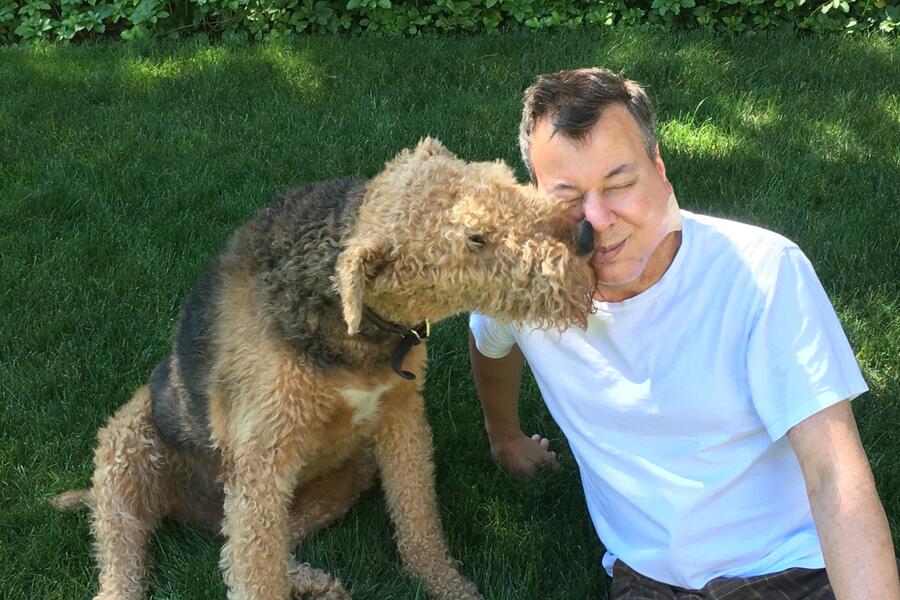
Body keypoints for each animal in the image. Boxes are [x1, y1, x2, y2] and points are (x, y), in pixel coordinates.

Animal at [52, 138, 596, 596]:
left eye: (502, 179)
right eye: (475, 238)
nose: (585, 234)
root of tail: (196, 514)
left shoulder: (401, 415)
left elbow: (418, 518)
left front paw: (448, 586)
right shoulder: (263, 460)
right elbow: (257, 577)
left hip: (340, 478)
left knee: (244, 548)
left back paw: (317, 582)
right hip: (128, 453)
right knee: (149, 563)